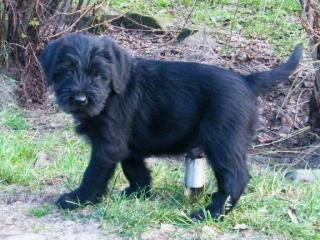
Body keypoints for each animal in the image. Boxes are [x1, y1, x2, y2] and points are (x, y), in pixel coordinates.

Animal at [40, 32, 302, 220]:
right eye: (67, 71)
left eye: (98, 74)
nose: (80, 99)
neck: (112, 94)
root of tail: (246, 81)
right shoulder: (126, 146)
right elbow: (134, 168)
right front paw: (139, 193)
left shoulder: (107, 146)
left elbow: (93, 174)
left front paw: (78, 199)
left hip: (222, 142)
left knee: (235, 177)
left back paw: (211, 213)